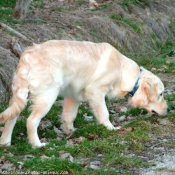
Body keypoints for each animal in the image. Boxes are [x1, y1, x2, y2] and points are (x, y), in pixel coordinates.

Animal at [0, 40, 170, 148]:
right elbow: (104, 113)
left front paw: (70, 132)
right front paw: (110, 128)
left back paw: (6, 143)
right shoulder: (96, 91)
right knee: (31, 121)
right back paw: (37, 145)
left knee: (11, 119)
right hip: (47, 96)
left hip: (20, 96)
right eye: (161, 94)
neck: (124, 71)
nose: (169, 109)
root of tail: (28, 55)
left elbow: (69, 116)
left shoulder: (73, 96)